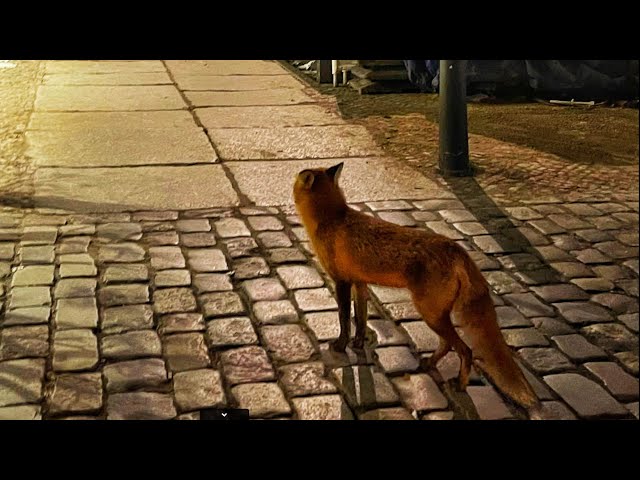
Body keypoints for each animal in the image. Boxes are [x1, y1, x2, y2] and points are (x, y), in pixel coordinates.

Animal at [293, 162, 540, 412]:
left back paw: (460, 384)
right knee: (447, 345)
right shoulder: (359, 283)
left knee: (465, 350)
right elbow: (360, 319)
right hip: (436, 316)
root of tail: (457, 248)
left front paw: (341, 345)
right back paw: (429, 363)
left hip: (430, 314)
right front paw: (358, 344)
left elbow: (344, 318)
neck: (333, 218)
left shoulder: (341, 281)